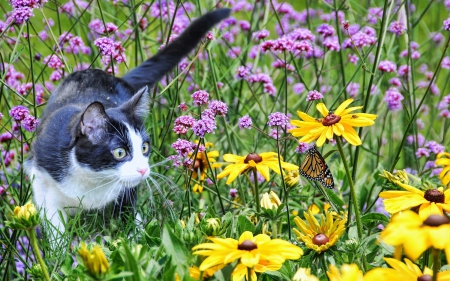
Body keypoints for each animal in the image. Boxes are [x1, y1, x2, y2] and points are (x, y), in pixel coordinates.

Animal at [24, 9, 230, 232]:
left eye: (144, 148)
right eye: (120, 152)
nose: (143, 169)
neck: (93, 178)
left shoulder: (126, 191)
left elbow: (128, 217)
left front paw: (134, 236)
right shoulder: (42, 176)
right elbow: (53, 224)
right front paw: (59, 241)